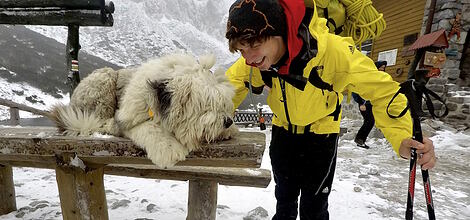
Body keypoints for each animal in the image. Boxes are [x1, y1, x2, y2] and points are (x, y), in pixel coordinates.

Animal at [50, 52, 239, 167]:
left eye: (224, 104)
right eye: (208, 104)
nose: (228, 122)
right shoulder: (127, 118)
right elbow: (149, 127)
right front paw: (169, 148)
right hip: (104, 78)